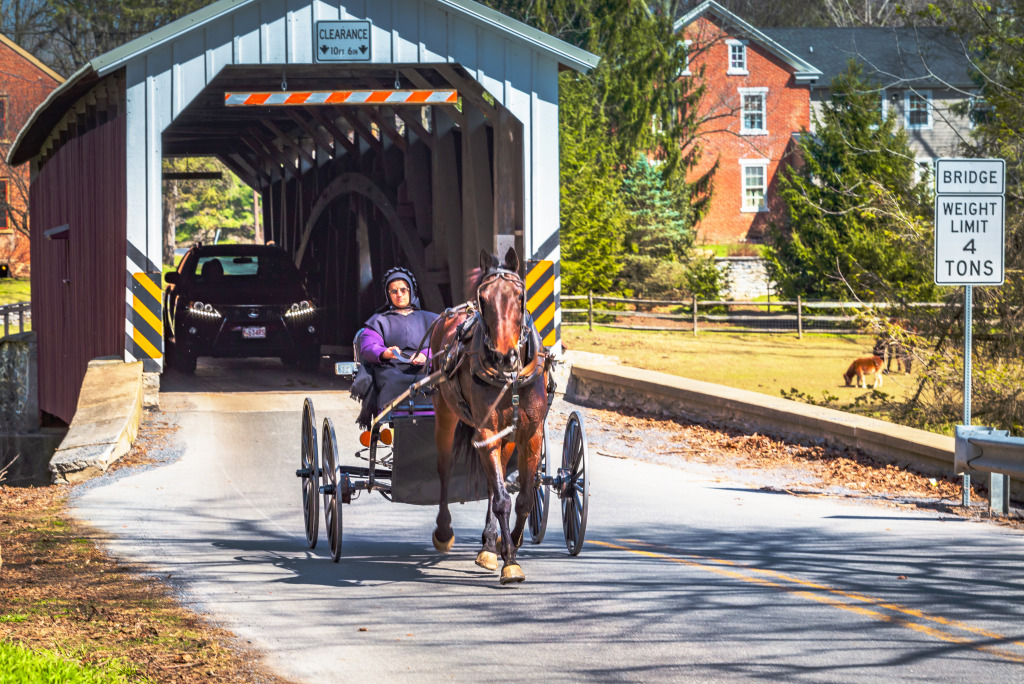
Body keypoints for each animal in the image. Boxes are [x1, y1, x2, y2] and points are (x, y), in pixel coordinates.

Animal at [425, 245, 552, 581]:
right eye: (484, 297)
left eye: (520, 296)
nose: (503, 355)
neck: (510, 378)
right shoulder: (486, 430)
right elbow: (503, 499)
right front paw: (509, 559)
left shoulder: (531, 433)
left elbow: (523, 498)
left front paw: (512, 544)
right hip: (445, 412)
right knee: (444, 467)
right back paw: (445, 531)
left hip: (507, 436)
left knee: (496, 481)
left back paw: (488, 544)